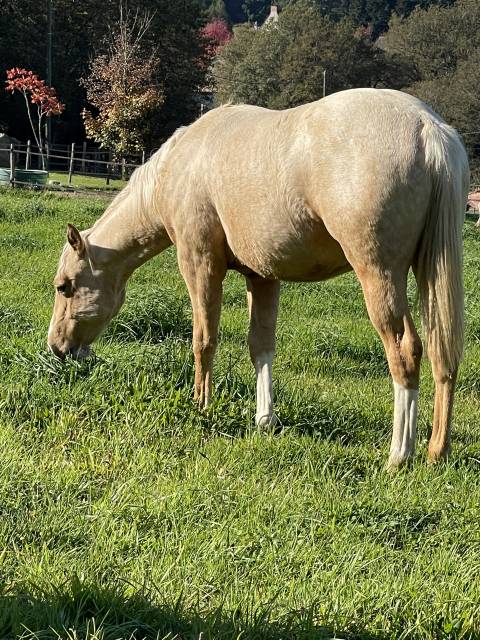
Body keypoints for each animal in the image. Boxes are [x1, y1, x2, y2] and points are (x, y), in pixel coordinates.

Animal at [47, 89, 466, 470]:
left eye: (64, 287)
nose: (57, 347)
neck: (181, 164)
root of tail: (427, 129)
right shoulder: (263, 277)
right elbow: (261, 346)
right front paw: (265, 420)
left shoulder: (199, 264)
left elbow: (204, 339)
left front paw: (201, 404)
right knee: (441, 354)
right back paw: (436, 451)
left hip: (379, 275)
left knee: (405, 351)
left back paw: (400, 453)